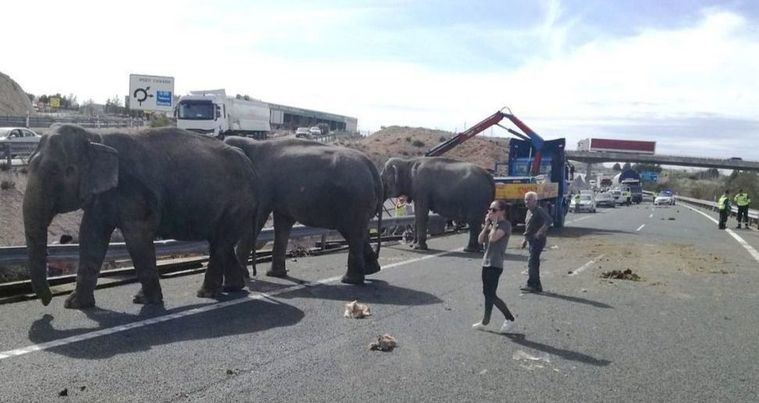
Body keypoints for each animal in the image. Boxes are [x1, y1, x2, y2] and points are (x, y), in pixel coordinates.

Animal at [23, 125, 258, 310]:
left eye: (64, 171)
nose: (47, 302)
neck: (95, 137)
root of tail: (249, 163)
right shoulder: (103, 195)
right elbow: (91, 235)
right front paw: (74, 305)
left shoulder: (133, 191)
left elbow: (137, 236)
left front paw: (144, 300)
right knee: (221, 243)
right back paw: (232, 287)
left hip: (237, 203)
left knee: (219, 243)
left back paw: (206, 293)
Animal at [223, 137, 382, 286]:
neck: (251, 143)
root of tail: (372, 167)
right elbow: (282, 224)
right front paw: (274, 274)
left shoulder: (263, 186)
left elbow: (259, 219)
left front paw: (245, 275)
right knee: (356, 233)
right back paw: (371, 270)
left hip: (354, 201)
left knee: (352, 233)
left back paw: (349, 280)